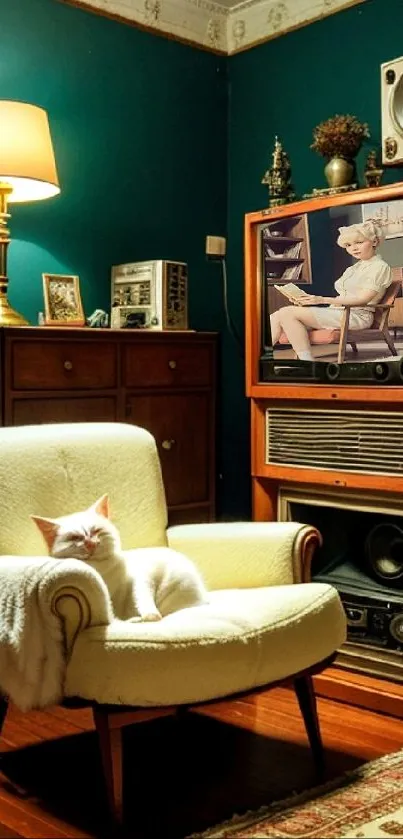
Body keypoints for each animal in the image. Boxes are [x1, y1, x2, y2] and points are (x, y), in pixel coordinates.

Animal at [31, 492, 208, 624]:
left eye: (96, 531)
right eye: (75, 538)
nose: (90, 543)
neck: (101, 570)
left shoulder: (142, 574)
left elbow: (142, 592)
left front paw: (149, 614)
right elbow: (112, 611)